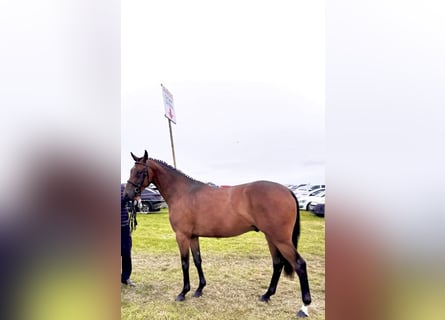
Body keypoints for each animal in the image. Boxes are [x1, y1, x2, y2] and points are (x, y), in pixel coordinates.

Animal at [123, 151, 310, 318]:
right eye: (131, 170)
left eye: (139, 172)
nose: (127, 195)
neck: (183, 192)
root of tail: (287, 191)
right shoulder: (193, 236)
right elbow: (197, 260)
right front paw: (199, 289)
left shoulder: (182, 236)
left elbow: (185, 263)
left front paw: (183, 293)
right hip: (271, 237)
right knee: (277, 264)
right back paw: (266, 295)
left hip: (281, 239)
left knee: (299, 264)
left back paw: (304, 307)